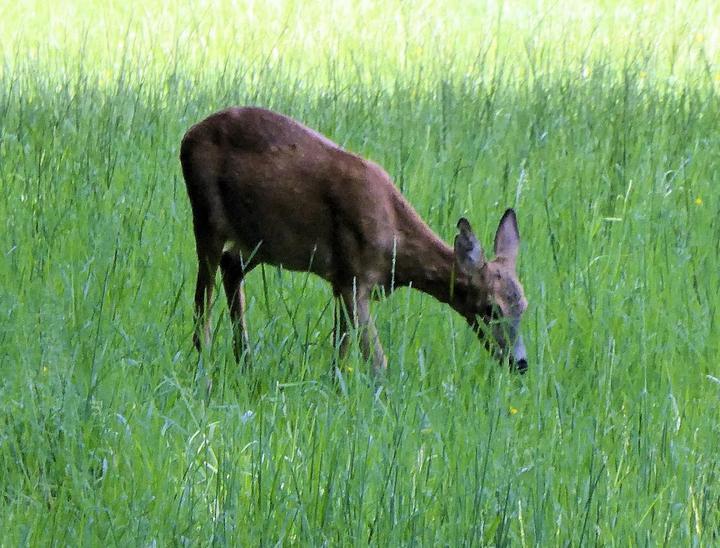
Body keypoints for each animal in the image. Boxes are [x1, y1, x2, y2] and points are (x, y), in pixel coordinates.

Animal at [180, 105, 528, 374]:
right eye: (491, 308)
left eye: (523, 306)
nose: (520, 363)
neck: (396, 248)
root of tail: (187, 136)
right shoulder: (354, 279)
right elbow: (376, 362)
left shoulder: (340, 281)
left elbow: (341, 354)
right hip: (207, 218)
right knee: (202, 307)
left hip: (258, 242)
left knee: (231, 267)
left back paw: (246, 363)